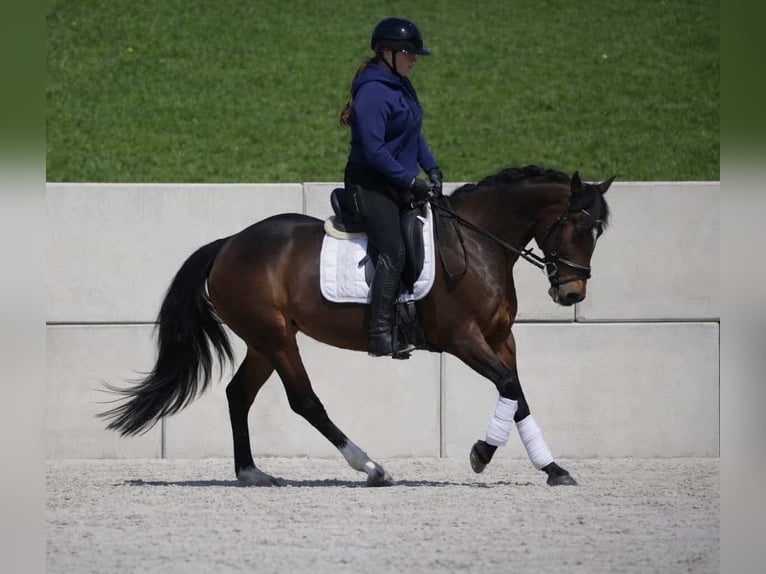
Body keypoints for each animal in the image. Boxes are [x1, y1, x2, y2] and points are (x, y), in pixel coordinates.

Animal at [101, 165, 613, 487]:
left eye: (597, 233)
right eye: (575, 226)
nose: (571, 295)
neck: (477, 243)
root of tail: (228, 244)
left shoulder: (500, 338)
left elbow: (518, 393)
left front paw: (553, 469)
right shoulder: (463, 338)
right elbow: (508, 385)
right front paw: (480, 455)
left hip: (264, 341)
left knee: (239, 395)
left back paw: (252, 473)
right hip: (277, 338)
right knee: (304, 401)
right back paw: (371, 468)